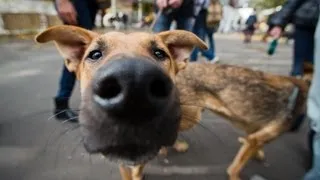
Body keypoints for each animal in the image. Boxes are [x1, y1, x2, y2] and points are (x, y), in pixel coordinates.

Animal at [172, 62, 310, 180]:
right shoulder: (256, 138)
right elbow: (236, 167)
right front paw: (234, 175)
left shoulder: (254, 131)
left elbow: (253, 147)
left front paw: (257, 153)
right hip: (191, 118)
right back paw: (177, 146)